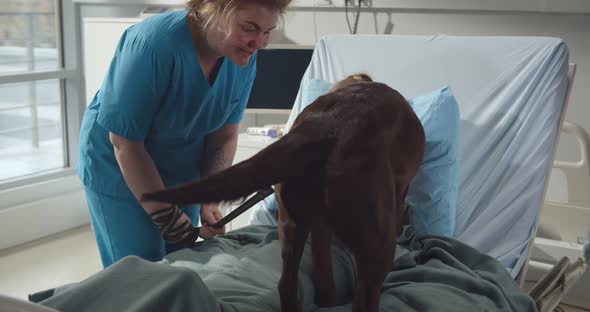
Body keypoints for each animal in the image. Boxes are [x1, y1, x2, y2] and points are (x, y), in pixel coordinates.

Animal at [143, 73, 426, 312]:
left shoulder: (317, 224)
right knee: (365, 295)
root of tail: (326, 124)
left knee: (287, 285)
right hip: (376, 245)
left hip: (291, 222)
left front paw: (327, 298)